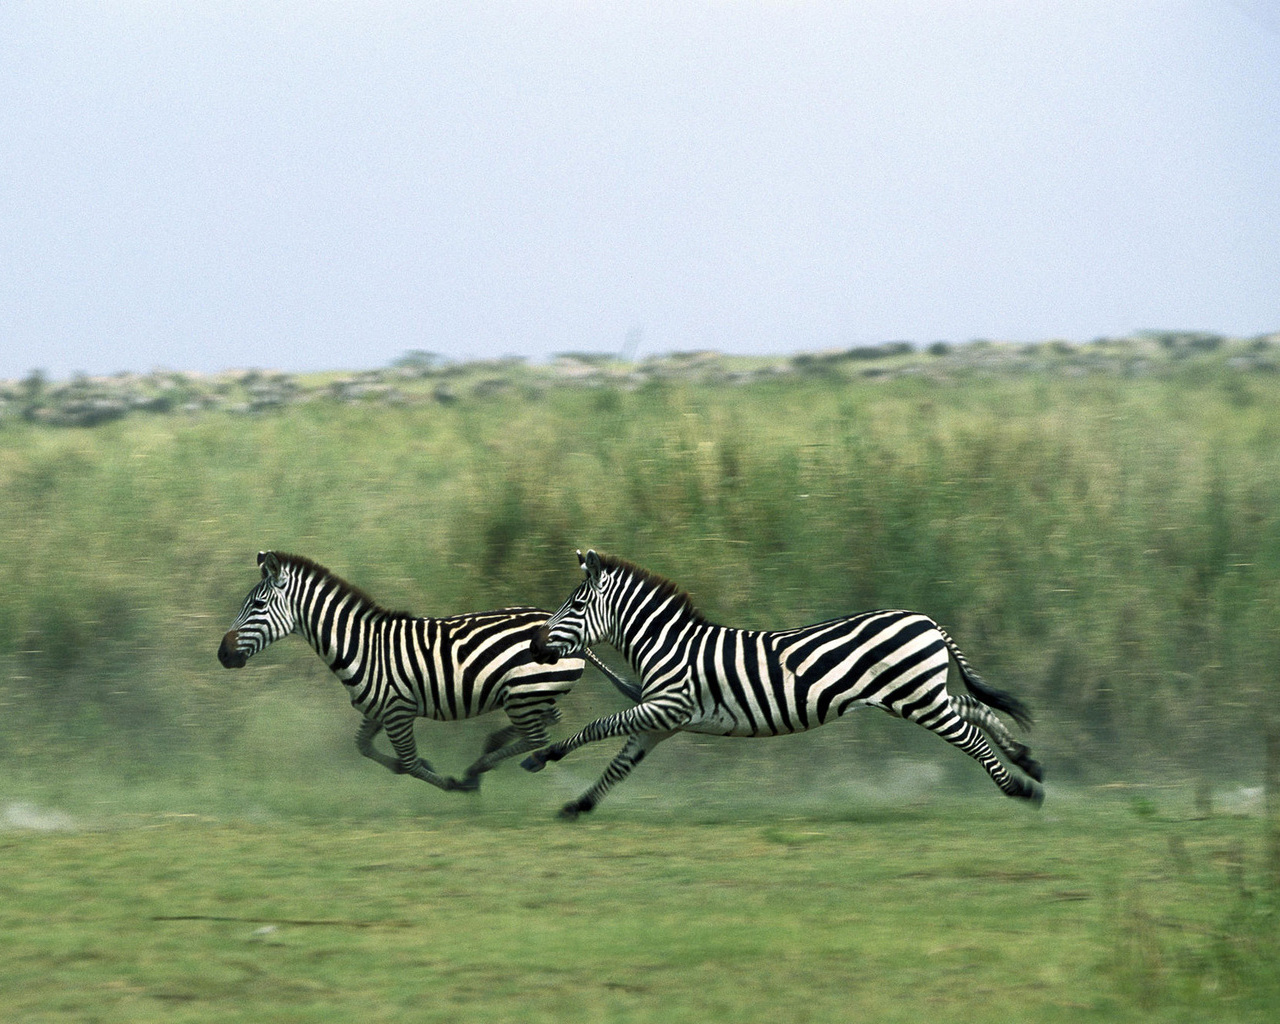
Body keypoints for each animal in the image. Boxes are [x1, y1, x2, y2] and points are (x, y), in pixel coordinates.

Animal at [222, 552, 640, 793]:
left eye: (257, 605)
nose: (222, 654)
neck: (361, 645)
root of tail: (581, 643)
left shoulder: (397, 710)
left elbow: (408, 763)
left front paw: (449, 782)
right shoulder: (378, 710)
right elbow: (364, 748)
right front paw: (417, 766)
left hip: (525, 692)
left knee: (537, 736)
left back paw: (476, 770)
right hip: (530, 693)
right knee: (544, 722)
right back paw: (487, 753)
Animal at [524, 547, 1044, 819]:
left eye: (575, 605)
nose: (536, 645)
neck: (667, 644)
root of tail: (927, 620)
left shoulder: (667, 707)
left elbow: (598, 727)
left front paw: (543, 757)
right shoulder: (661, 721)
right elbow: (620, 763)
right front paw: (579, 805)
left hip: (916, 697)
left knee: (971, 735)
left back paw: (1020, 789)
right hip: (920, 692)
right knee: (974, 707)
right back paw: (1026, 760)